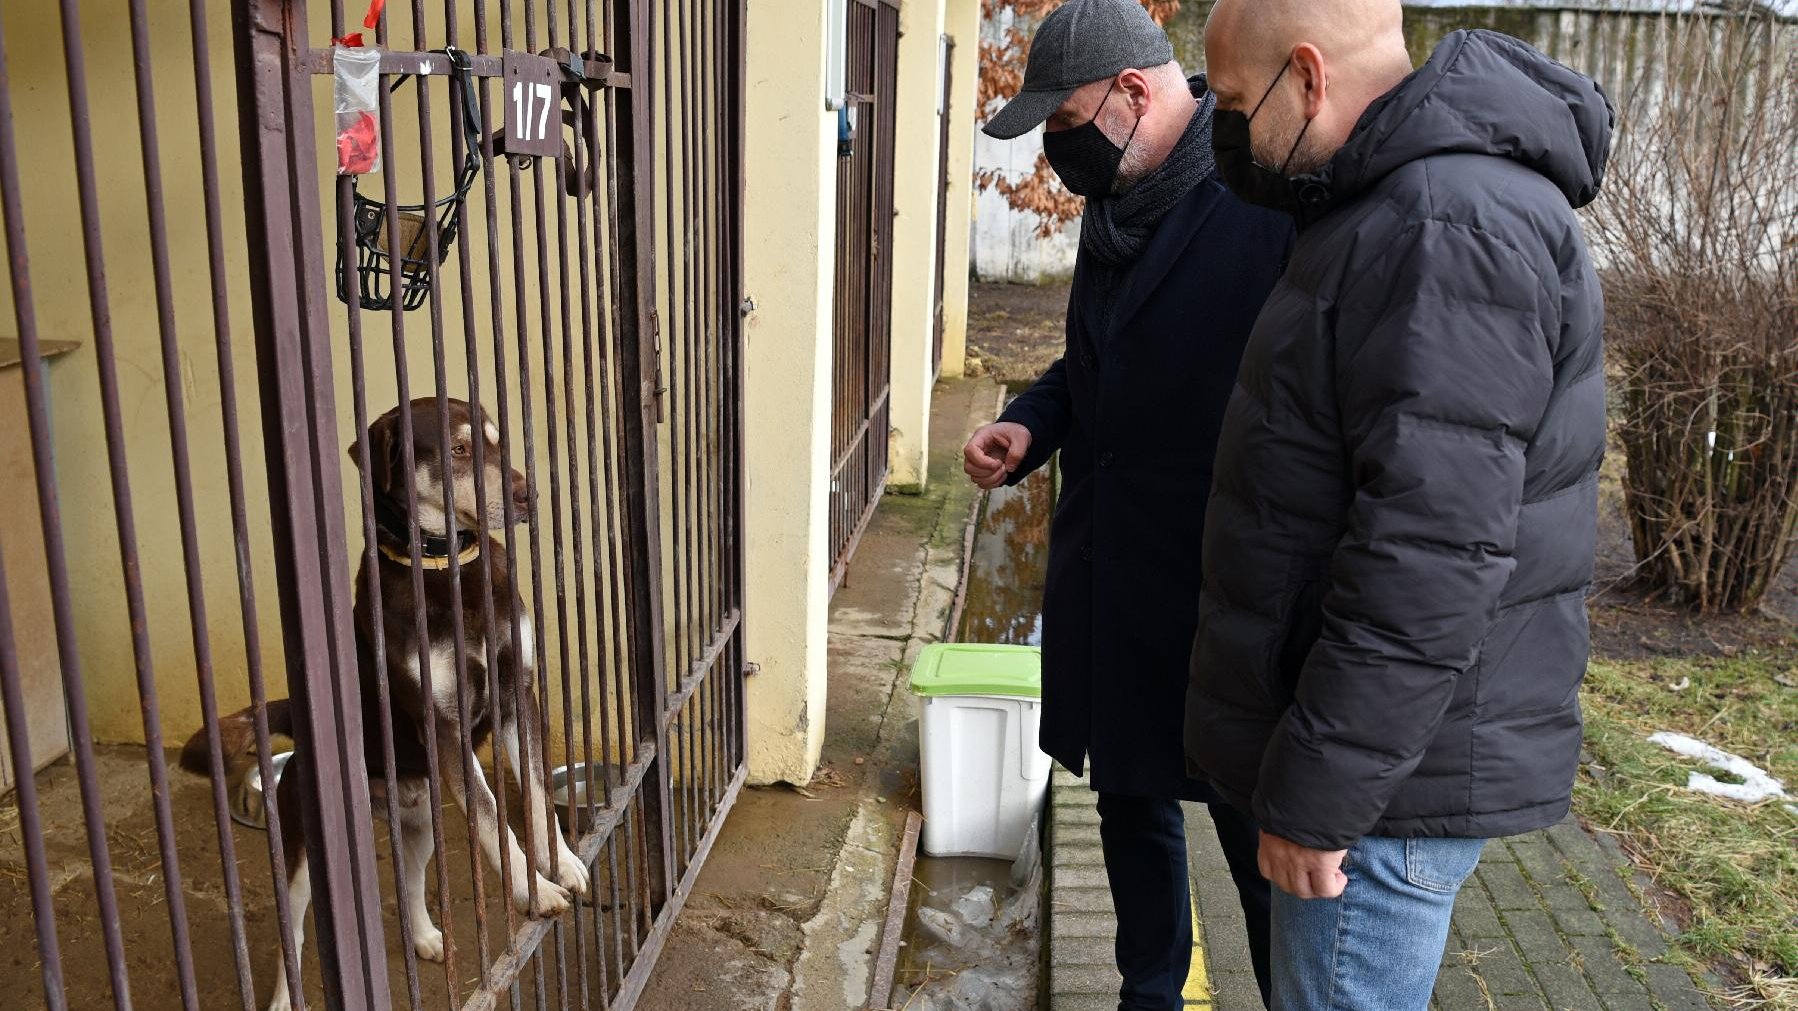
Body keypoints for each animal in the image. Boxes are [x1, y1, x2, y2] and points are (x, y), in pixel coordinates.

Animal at [177, 395, 582, 1007]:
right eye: (457, 449)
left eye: (497, 443)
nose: (526, 495)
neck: (445, 572)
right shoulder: (442, 726)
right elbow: (494, 817)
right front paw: (529, 888)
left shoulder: (519, 695)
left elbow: (534, 790)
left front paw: (564, 862)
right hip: (303, 862)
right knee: (295, 936)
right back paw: (283, 998)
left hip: (421, 824)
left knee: (410, 883)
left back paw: (426, 938)